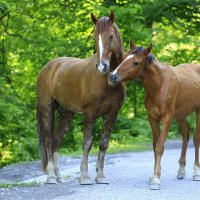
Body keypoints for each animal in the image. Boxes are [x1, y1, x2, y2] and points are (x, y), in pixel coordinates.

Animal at [36, 11, 125, 184]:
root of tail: (47, 68)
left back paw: (59, 176)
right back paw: (51, 177)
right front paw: (84, 176)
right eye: (94, 37)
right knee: (49, 140)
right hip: (47, 109)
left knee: (56, 141)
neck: (107, 81)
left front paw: (100, 176)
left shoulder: (112, 114)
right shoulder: (89, 113)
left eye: (111, 36)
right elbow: (87, 143)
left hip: (66, 114)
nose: (102, 66)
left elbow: (103, 144)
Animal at [108, 41, 199, 190]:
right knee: (185, 135)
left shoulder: (167, 118)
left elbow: (160, 146)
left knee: (196, 139)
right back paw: (181, 171)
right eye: (124, 58)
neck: (159, 86)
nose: (112, 76)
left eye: (136, 62)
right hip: (181, 115)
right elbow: (155, 145)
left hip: (198, 111)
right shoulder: (152, 118)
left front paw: (156, 179)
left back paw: (196, 172)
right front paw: (154, 176)